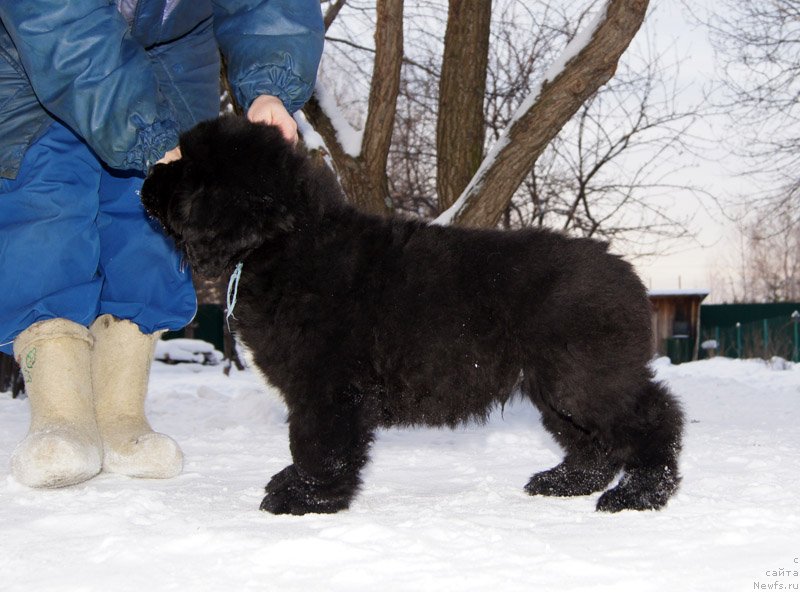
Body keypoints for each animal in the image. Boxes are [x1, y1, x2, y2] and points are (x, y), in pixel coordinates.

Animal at [141, 115, 684, 512]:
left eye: (187, 168)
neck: (283, 245)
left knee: (654, 418)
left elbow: (318, 442)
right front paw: (296, 487)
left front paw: (304, 497)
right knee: (597, 442)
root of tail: (628, 275)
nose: (145, 177)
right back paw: (564, 482)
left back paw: (639, 494)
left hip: (583, 377)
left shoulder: (328, 383)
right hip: (553, 385)